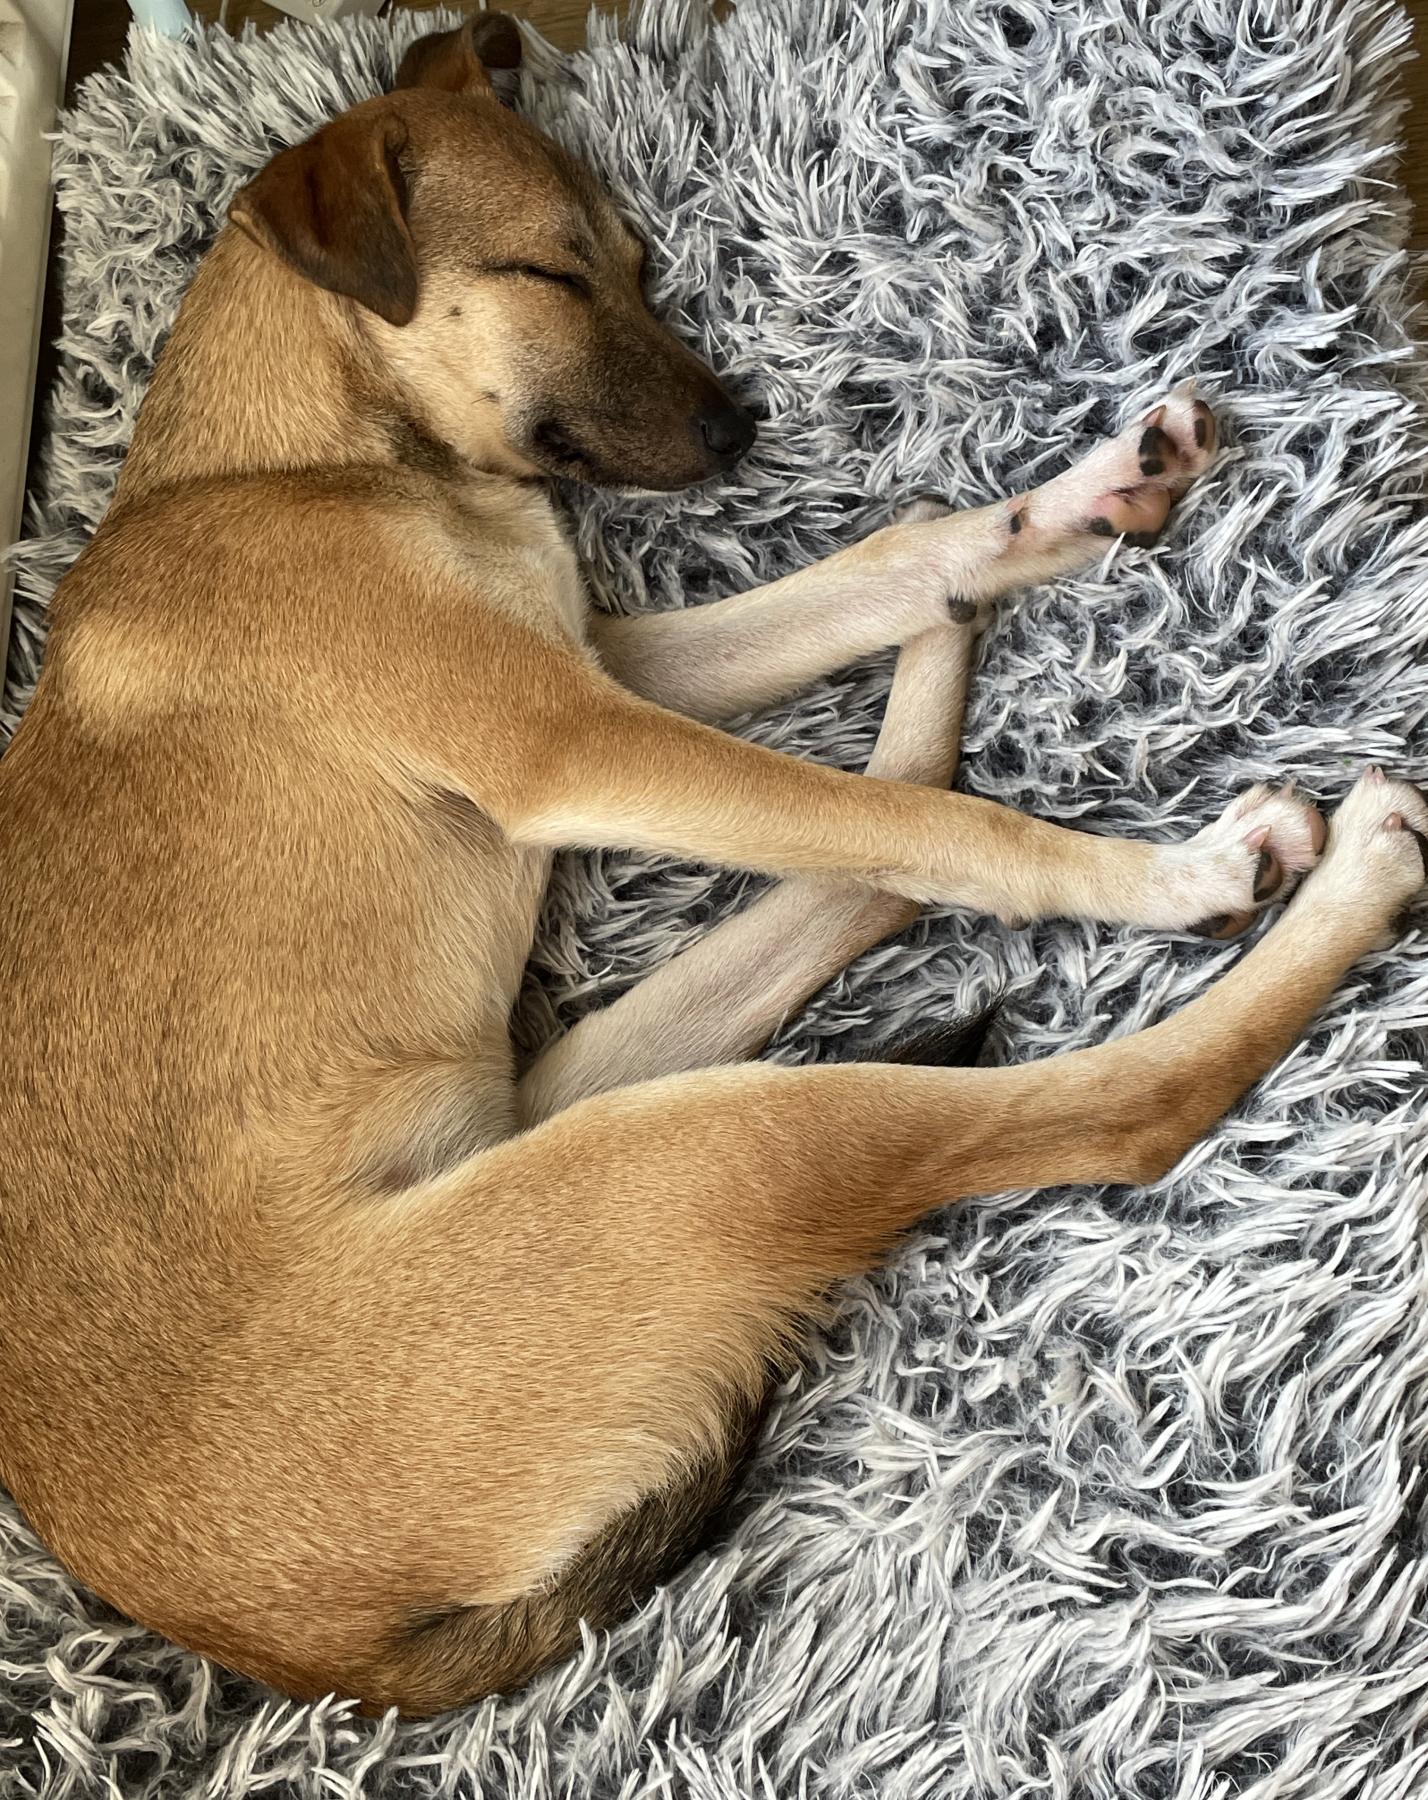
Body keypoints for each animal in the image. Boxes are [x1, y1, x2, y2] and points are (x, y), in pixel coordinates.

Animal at [1, 12, 1424, 1719]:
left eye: (636, 259)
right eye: (552, 273)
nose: (747, 431)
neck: (299, 459)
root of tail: (319, 1657)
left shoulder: (605, 663)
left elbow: (895, 561)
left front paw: (1053, 514)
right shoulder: (570, 735)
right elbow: (960, 831)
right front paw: (1160, 881)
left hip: (581, 1116)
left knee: (876, 852)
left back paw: (1021, 581)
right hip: (703, 1160)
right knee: (1098, 1091)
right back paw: (1314, 881)